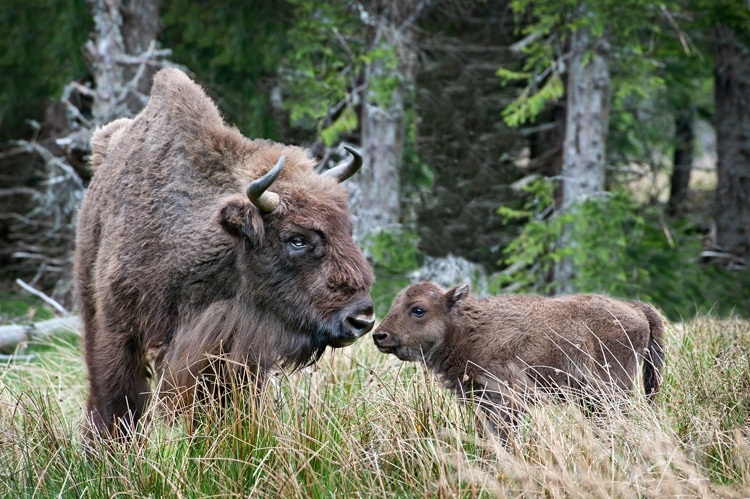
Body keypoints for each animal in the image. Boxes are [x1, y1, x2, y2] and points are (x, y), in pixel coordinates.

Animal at [76, 67, 376, 438]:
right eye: (297, 239)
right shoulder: (120, 331)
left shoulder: (231, 349)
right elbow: (119, 402)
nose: (362, 319)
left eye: (347, 230)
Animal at [374, 284, 664, 440]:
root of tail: (636, 308)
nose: (380, 335)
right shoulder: (479, 400)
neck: (468, 328)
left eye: (418, 309)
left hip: (614, 390)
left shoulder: (506, 398)